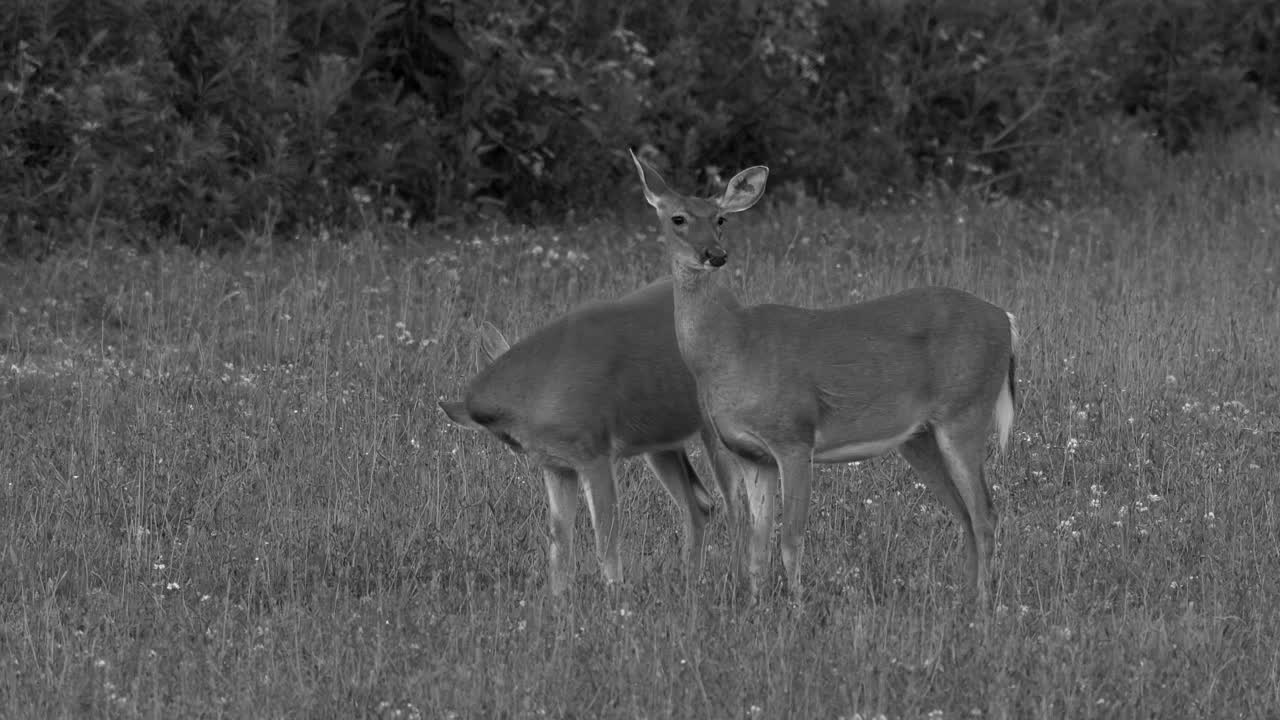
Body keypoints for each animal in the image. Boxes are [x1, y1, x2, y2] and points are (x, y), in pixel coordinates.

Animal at [440, 278, 742, 597]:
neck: (535, 394)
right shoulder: (557, 465)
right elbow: (560, 540)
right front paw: (558, 598)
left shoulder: (594, 453)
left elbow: (605, 535)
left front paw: (614, 595)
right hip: (661, 443)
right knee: (700, 504)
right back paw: (690, 583)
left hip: (717, 425)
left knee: (738, 505)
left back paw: (737, 582)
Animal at [629, 148, 1018, 607]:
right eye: (678, 218)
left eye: (721, 218)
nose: (715, 254)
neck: (734, 347)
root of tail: (1006, 320)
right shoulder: (751, 454)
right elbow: (757, 544)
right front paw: (757, 606)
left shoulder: (795, 437)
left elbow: (791, 539)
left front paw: (797, 608)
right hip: (921, 436)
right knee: (965, 514)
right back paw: (963, 600)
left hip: (966, 410)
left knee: (986, 513)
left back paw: (984, 605)